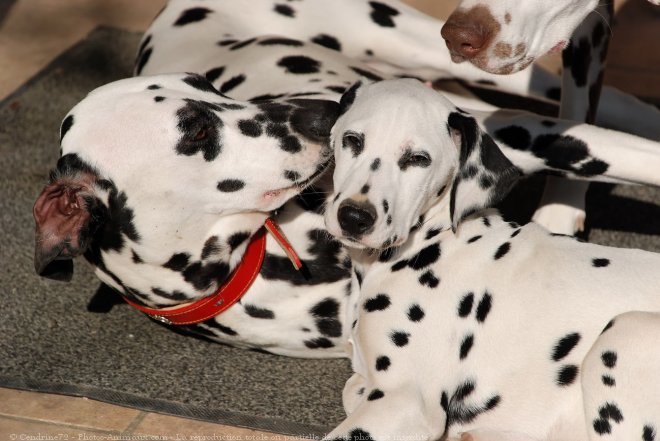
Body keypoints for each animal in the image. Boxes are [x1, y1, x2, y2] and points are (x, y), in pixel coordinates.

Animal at [324, 77, 660, 438]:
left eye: (418, 159)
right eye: (353, 140)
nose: (354, 217)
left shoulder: (404, 402)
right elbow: (352, 388)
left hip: (622, 334)